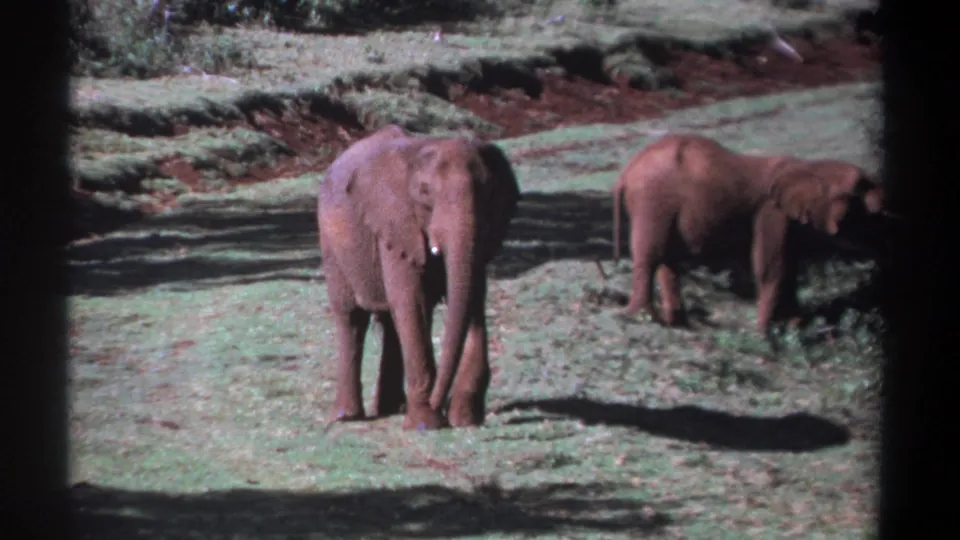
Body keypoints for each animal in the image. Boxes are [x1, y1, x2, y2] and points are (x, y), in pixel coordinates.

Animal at [317, 125, 521, 430]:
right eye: (425, 192)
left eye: (488, 190)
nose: (441, 404)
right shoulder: (395, 223)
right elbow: (412, 301)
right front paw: (427, 424)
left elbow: (473, 295)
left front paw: (465, 419)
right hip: (332, 245)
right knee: (351, 318)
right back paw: (347, 417)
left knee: (390, 321)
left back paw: (392, 408)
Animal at [610, 133, 887, 334]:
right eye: (860, 197)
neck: (811, 167)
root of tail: (627, 172)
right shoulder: (772, 212)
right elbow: (772, 266)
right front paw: (765, 335)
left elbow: (790, 265)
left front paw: (795, 328)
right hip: (653, 199)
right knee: (651, 256)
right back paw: (644, 318)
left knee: (668, 260)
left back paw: (678, 324)